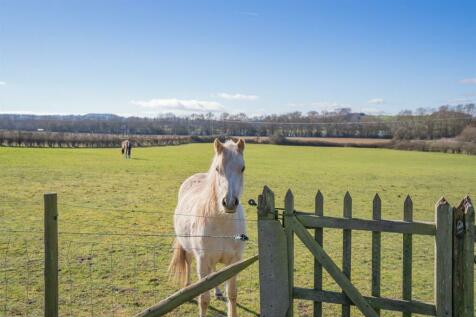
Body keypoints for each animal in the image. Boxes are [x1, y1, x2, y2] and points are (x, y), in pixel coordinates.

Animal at [169, 138, 245, 316]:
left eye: (242, 168)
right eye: (217, 169)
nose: (229, 202)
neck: (223, 224)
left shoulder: (234, 262)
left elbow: (232, 295)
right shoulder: (202, 261)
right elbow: (203, 299)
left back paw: (217, 292)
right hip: (189, 250)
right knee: (189, 263)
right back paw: (187, 287)